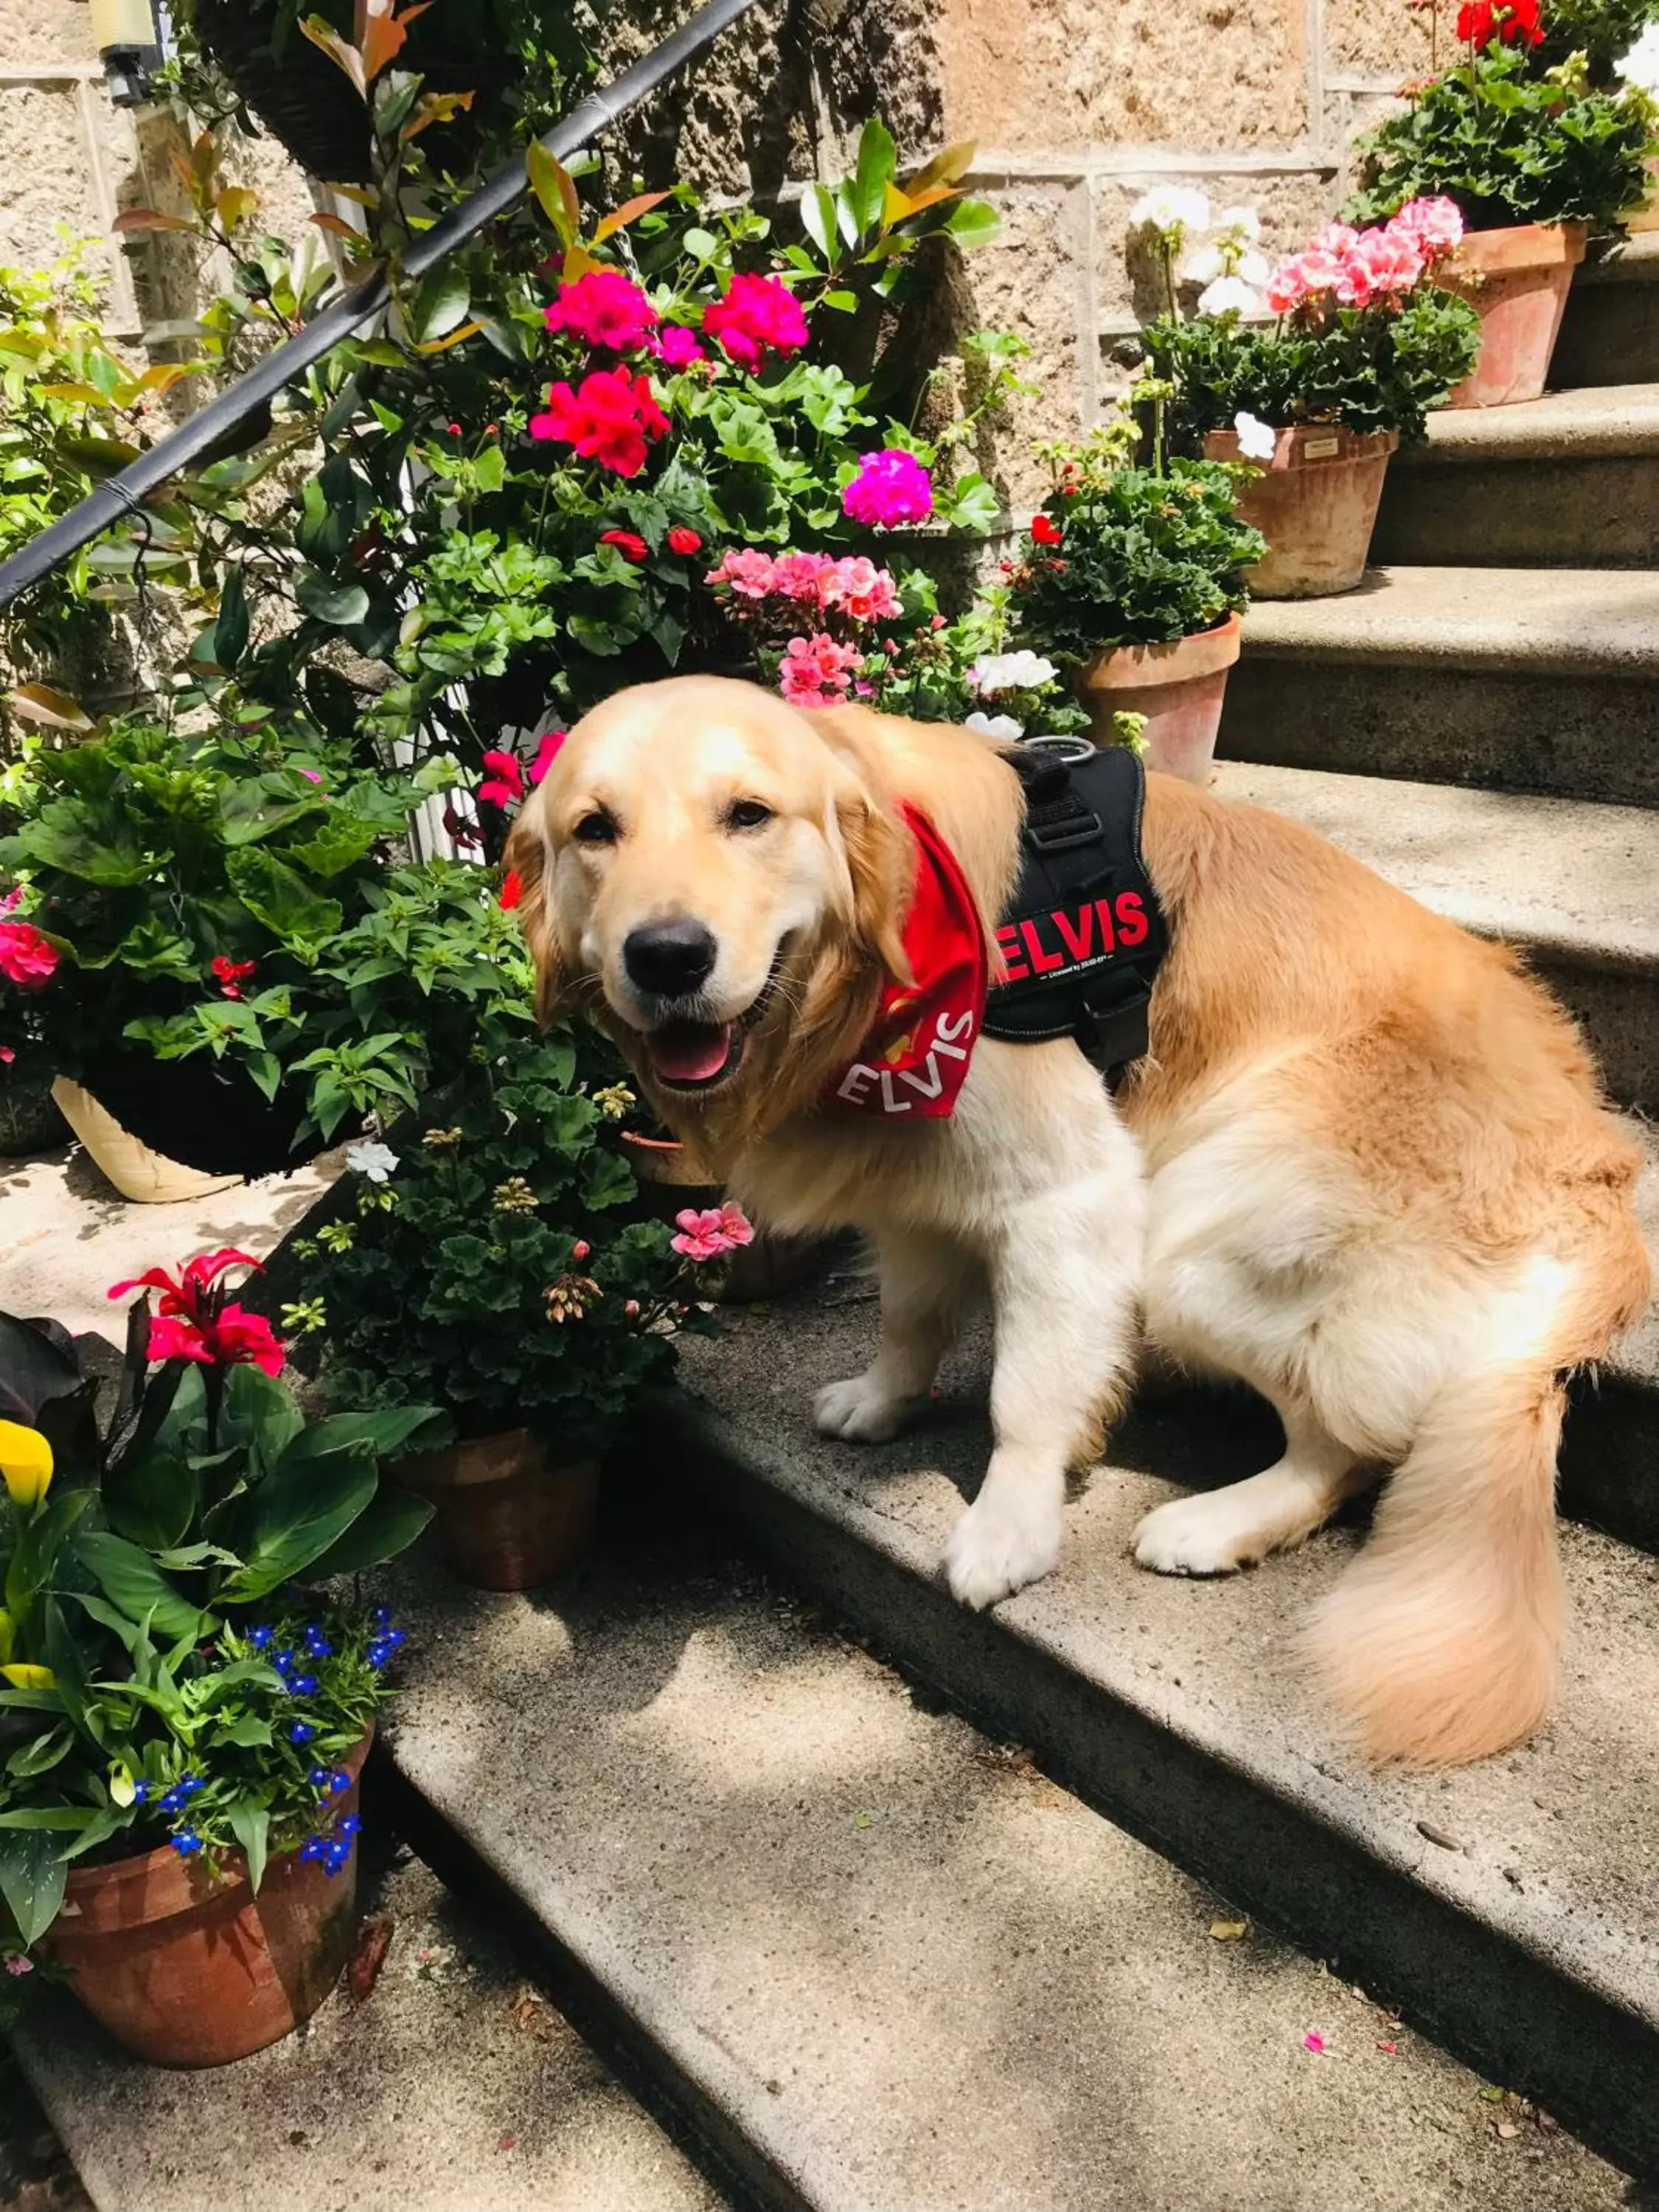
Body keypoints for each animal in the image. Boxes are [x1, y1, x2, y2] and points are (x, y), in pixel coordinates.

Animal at [507, 672, 1655, 1761]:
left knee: (1349, 1444)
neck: (872, 981)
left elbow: (1024, 1393)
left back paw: (1215, 1523)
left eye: (748, 814)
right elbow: (909, 1318)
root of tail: (1605, 1209)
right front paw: (884, 1401)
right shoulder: (912, 1178)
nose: (666, 957)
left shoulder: (1071, 1193)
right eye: (594, 830)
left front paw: (1008, 1531)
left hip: (1199, 1229)